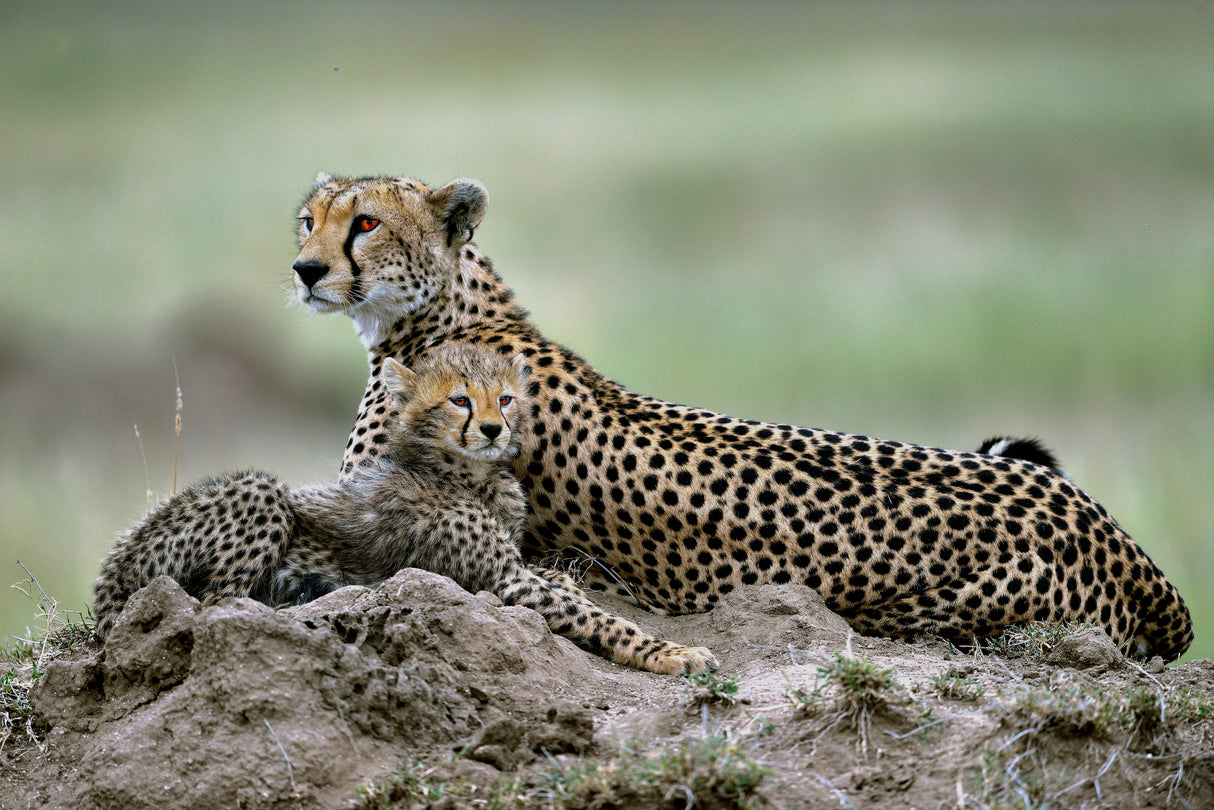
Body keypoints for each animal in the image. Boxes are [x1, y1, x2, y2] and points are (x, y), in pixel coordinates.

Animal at [92, 343, 716, 675]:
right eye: (460, 399)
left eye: (505, 397)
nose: (494, 429)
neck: (466, 472)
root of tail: (108, 586)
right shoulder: (504, 580)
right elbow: (598, 618)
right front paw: (674, 651)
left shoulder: (514, 564)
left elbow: (564, 585)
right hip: (257, 495)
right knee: (217, 602)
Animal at [291, 172, 1193, 661]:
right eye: (309, 219)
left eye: (365, 223)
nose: (304, 269)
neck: (448, 310)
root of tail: (1120, 541)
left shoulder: (363, 511)